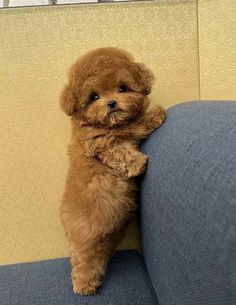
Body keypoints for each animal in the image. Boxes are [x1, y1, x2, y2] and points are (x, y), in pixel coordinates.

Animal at [59, 46, 166, 294]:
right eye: (94, 97)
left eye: (122, 88)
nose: (111, 103)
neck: (111, 124)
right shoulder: (99, 145)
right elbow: (125, 145)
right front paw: (138, 163)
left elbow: (136, 125)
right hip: (86, 241)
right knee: (84, 263)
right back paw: (85, 286)